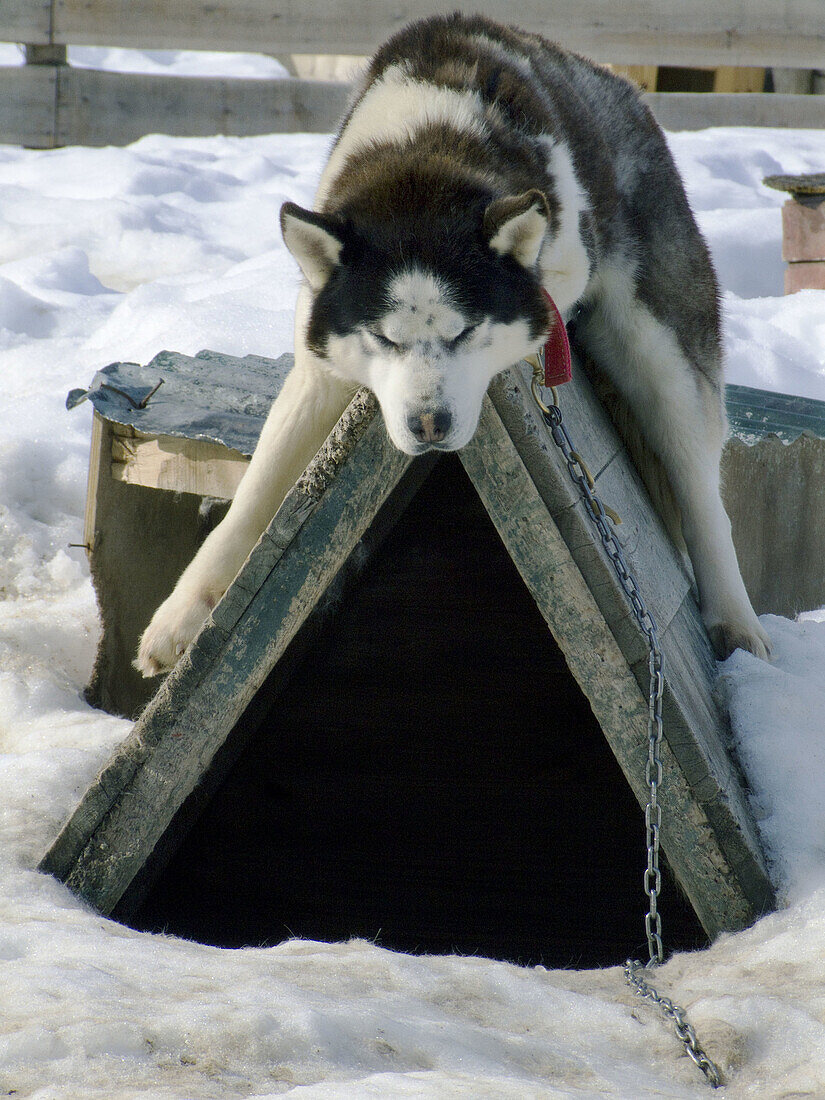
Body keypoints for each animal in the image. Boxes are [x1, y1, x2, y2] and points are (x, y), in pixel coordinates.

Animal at [137, 12, 774, 673]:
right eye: (382, 337)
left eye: (464, 331)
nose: (428, 424)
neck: (425, 154)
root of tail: (622, 90)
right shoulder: (320, 368)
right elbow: (254, 497)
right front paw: (183, 615)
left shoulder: (556, 276)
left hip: (663, 352)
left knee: (701, 489)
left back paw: (734, 621)